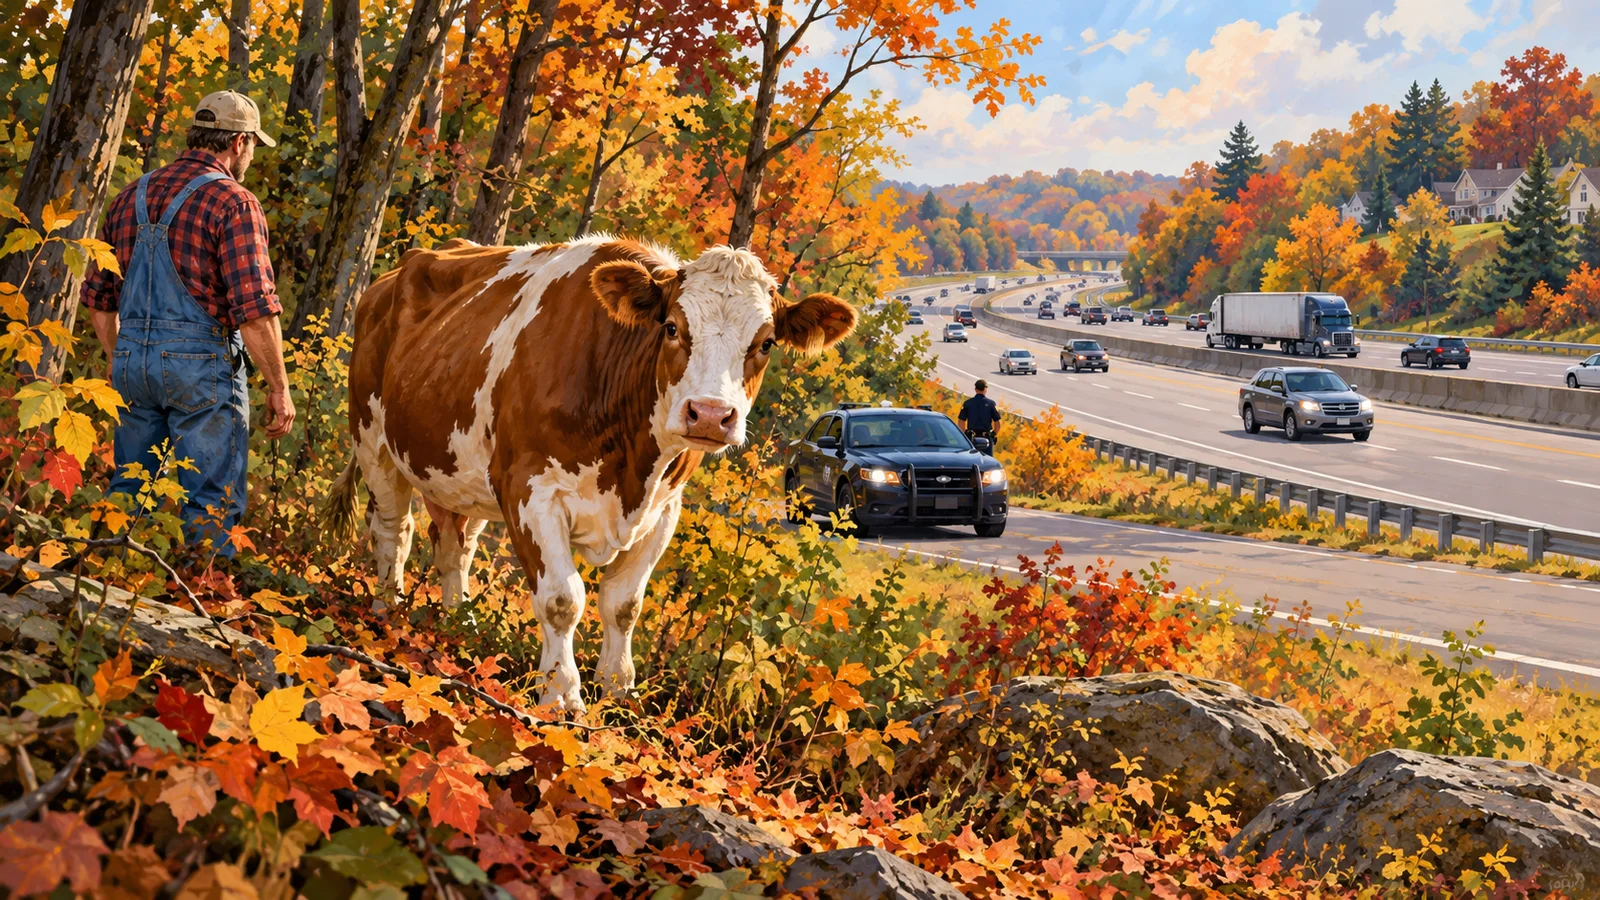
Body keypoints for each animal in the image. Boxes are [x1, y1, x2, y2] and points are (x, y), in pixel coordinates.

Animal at [324, 236, 856, 710]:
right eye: (671, 327)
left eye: (765, 343)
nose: (708, 414)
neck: (631, 470)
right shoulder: (529, 490)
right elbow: (562, 599)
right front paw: (562, 694)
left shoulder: (664, 509)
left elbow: (624, 605)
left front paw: (619, 690)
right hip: (372, 439)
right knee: (394, 530)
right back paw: (387, 610)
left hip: (463, 475)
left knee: (455, 544)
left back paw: (462, 623)